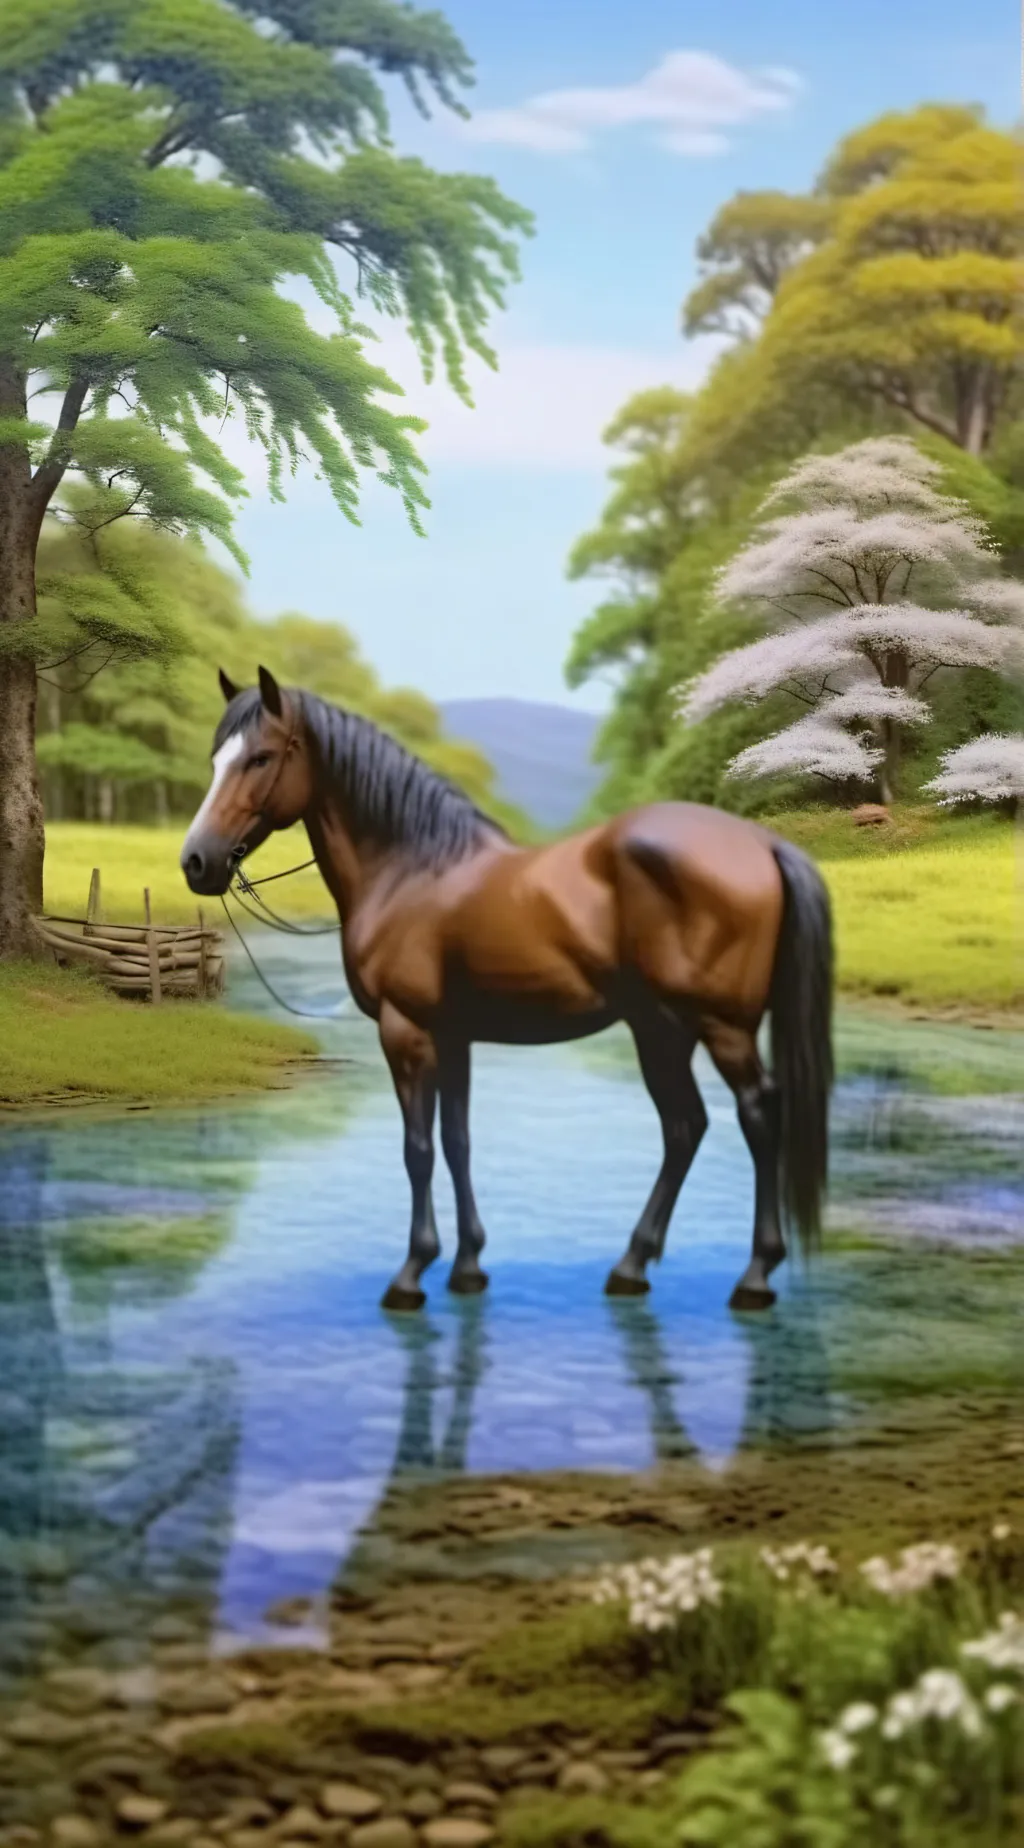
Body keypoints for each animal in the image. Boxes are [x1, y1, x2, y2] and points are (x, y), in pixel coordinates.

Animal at [181, 667, 833, 1315]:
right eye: (216, 758)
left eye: (261, 758)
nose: (196, 861)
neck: (413, 869)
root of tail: (760, 844)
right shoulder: (453, 1038)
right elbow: (457, 1141)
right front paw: (468, 1267)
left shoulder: (406, 1032)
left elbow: (418, 1149)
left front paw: (411, 1273)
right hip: (662, 1028)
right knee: (684, 1127)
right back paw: (631, 1266)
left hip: (722, 1028)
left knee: (756, 1116)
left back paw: (754, 1275)